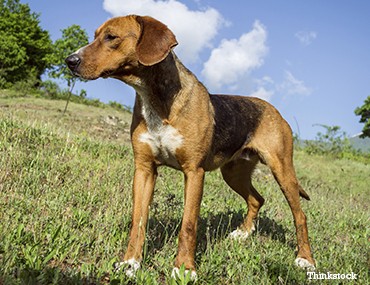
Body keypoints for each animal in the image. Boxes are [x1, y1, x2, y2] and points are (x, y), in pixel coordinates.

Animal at [66, 15, 316, 278]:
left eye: (111, 37)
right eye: (95, 35)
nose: (69, 60)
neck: (157, 102)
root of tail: (273, 109)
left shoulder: (194, 172)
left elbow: (188, 225)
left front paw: (184, 269)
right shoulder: (144, 169)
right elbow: (138, 220)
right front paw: (131, 262)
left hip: (283, 171)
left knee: (300, 216)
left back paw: (305, 259)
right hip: (233, 173)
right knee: (257, 199)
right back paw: (243, 233)